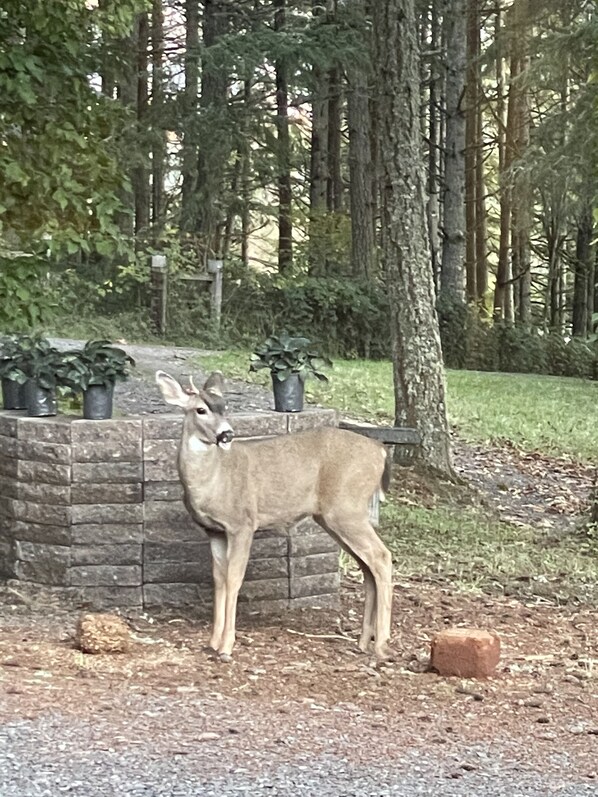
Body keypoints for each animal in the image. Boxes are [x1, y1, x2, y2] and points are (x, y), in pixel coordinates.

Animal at [155, 370, 394, 662]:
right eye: (201, 409)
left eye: (225, 407)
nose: (227, 433)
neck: (213, 479)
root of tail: (380, 450)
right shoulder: (215, 531)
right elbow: (219, 580)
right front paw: (212, 642)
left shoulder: (243, 523)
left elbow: (234, 579)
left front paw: (226, 647)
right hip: (335, 516)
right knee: (367, 566)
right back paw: (362, 641)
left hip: (346, 509)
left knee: (381, 556)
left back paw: (381, 644)